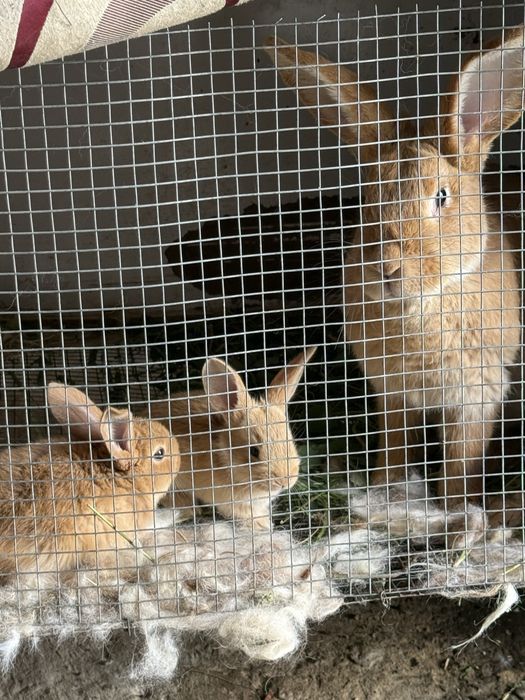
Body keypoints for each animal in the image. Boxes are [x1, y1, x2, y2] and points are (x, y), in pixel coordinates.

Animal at [151, 348, 316, 530]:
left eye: (290, 442)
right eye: (254, 451)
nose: (285, 481)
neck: (226, 459)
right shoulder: (229, 503)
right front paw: (263, 524)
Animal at [266, 26, 525, 507]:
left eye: (441, 196)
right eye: (367, 199)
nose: (386, 269)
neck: (420, 308)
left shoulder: (476, 396)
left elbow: (460, 464)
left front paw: (455, 506)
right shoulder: (392, 395)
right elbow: (395, 444)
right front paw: (387, 488)